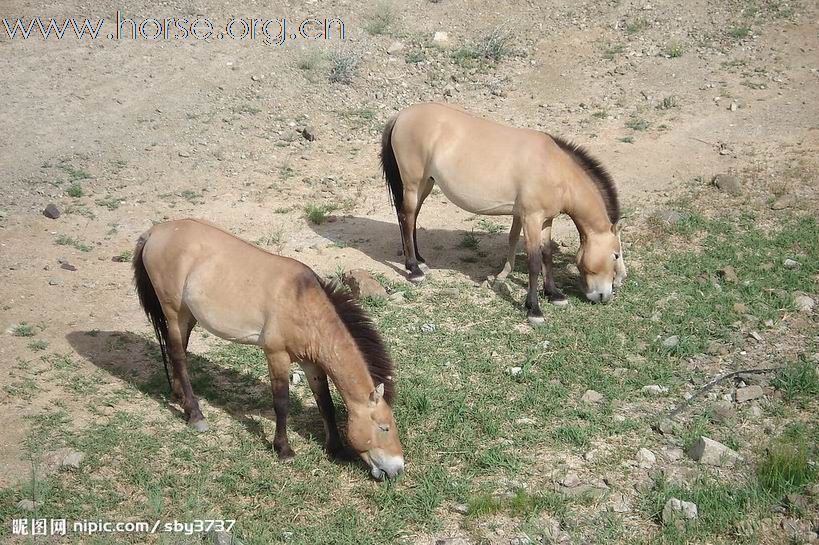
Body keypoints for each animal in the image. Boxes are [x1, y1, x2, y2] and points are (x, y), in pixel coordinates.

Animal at [133, 219, 408, 478]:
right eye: (384, 427)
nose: (397, 469)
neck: (302, 304)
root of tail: (155, 231)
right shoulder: (277, 355)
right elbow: (281, 402)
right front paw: (284, 449)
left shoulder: (312, 363)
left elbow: (325, 402)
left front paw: (336, 449)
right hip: (173, 313)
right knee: (178, 355)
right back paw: (195, 415)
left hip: (188, 316)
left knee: (179, 350)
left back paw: (179, 396)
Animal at [380, 102, 628, 324]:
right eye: (615, 255)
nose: (606, 295)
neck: (555, 170)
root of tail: (401, 115)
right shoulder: (531, 218)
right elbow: (534, 261)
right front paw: (534, 309)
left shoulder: (545, 220)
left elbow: (546, 253)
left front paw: (554, 294)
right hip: (413, 184)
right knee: (406, 217)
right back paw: (414, 270)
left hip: (426, 184)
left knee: (412, 218)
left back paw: (419, 260)